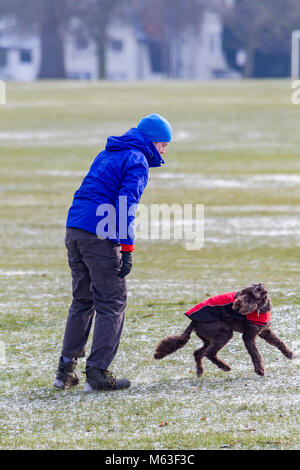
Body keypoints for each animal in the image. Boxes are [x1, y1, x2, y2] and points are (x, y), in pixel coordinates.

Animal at [154, 282, 294, 378]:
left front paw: (290, 354)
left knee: (198, 353)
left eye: (250, 296)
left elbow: (279, 342)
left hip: (210, 337)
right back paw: (225, 367)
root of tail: (193, 322)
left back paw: (200, 371)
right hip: (224, 333)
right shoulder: (248, 336)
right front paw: (260, 370)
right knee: (209, 353)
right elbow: (255, 353)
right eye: (240, 293)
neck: (260, 309)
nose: (236, 304)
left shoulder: (264, 331)